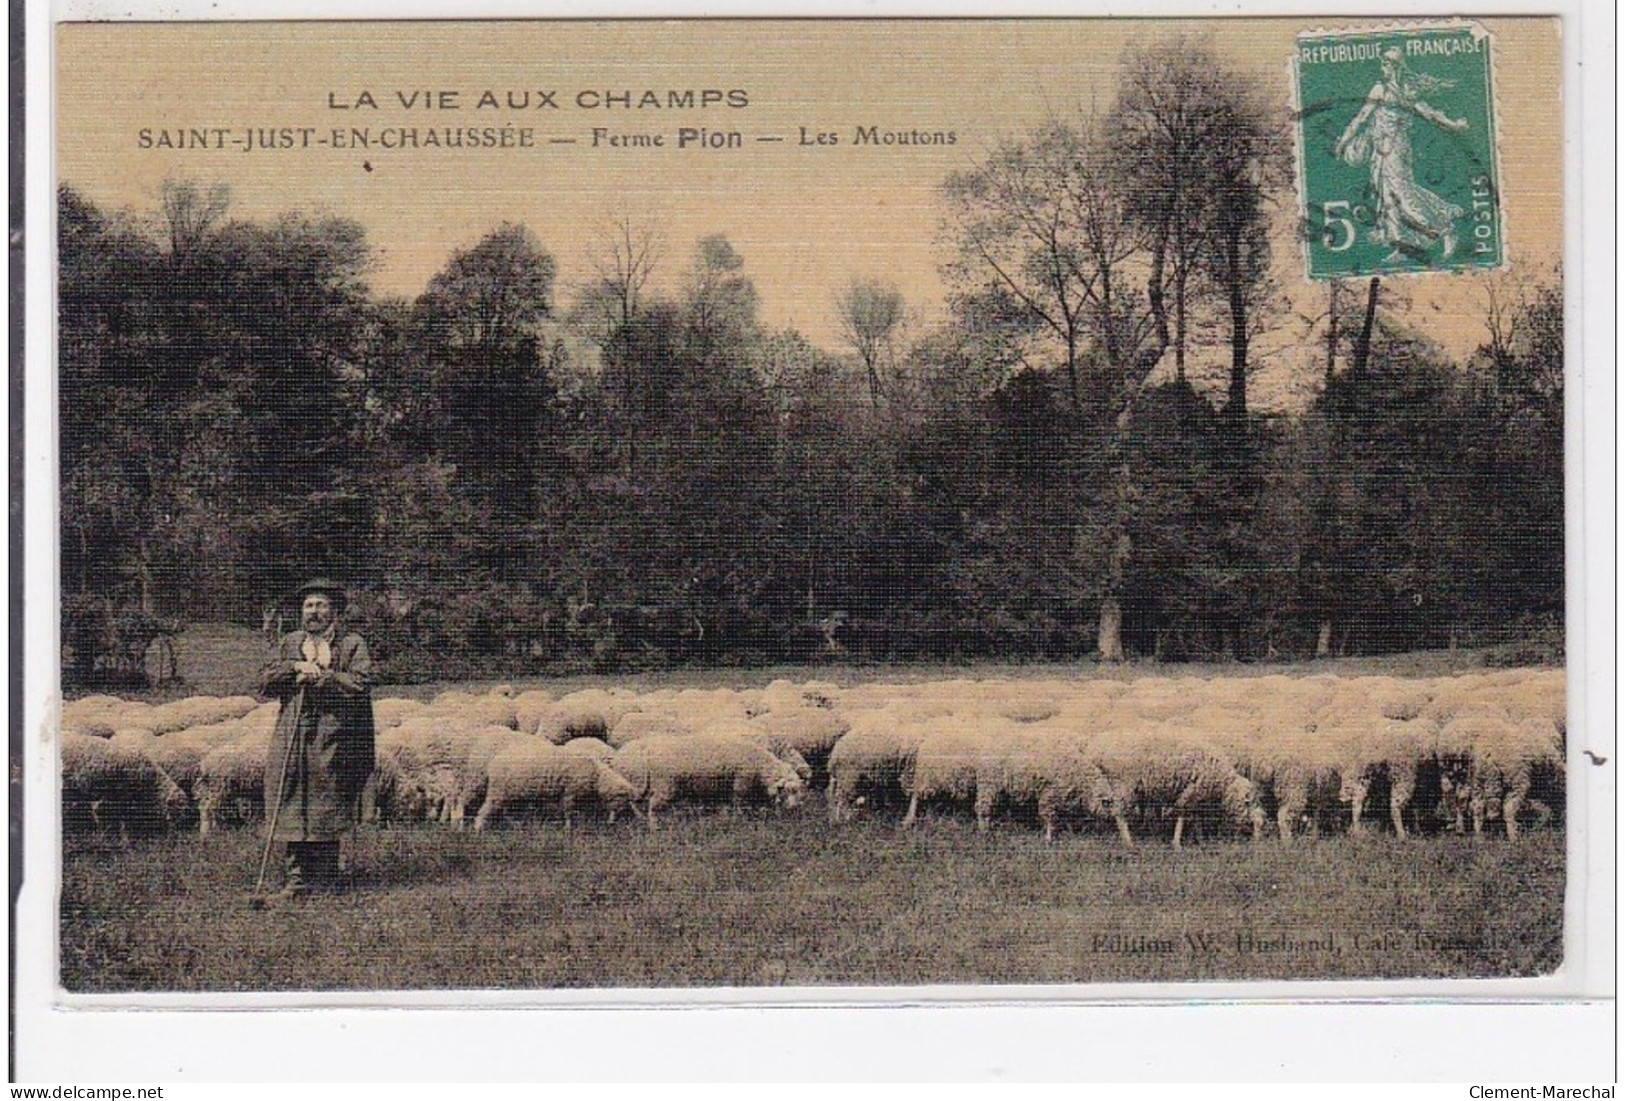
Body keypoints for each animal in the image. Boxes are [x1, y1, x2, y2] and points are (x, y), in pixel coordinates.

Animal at [611, 737, 809, 831]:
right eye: (787, 791)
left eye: (798, 791)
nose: (794, 809)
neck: (760, 765)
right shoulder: (740, 785)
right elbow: (739, 804)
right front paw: (741, 819)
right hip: (663, 787)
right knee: (652, 808)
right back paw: (655, 827)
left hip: (638, 784)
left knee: (635, 804)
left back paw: (642, 820)